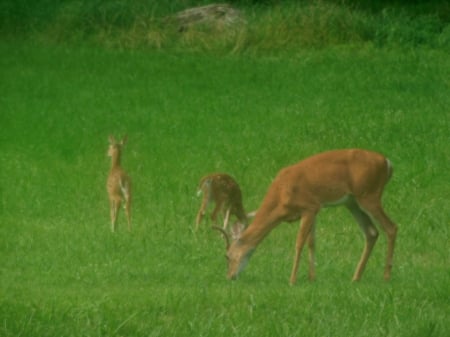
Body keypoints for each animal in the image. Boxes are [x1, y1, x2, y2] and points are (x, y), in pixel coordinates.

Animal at [214, 150, 398, 284]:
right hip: (352, 202)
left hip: (369, 195)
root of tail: (387, 163)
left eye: (227, 256)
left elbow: (299, 243)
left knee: (391, 227)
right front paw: (312, 278)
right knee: (372, 232)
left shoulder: (308, 207)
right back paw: (356, 277)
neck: (281, 197)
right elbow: (312, 242)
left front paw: (292, 280)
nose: (230, 277)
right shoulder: (315, 209)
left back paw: (386, 277)